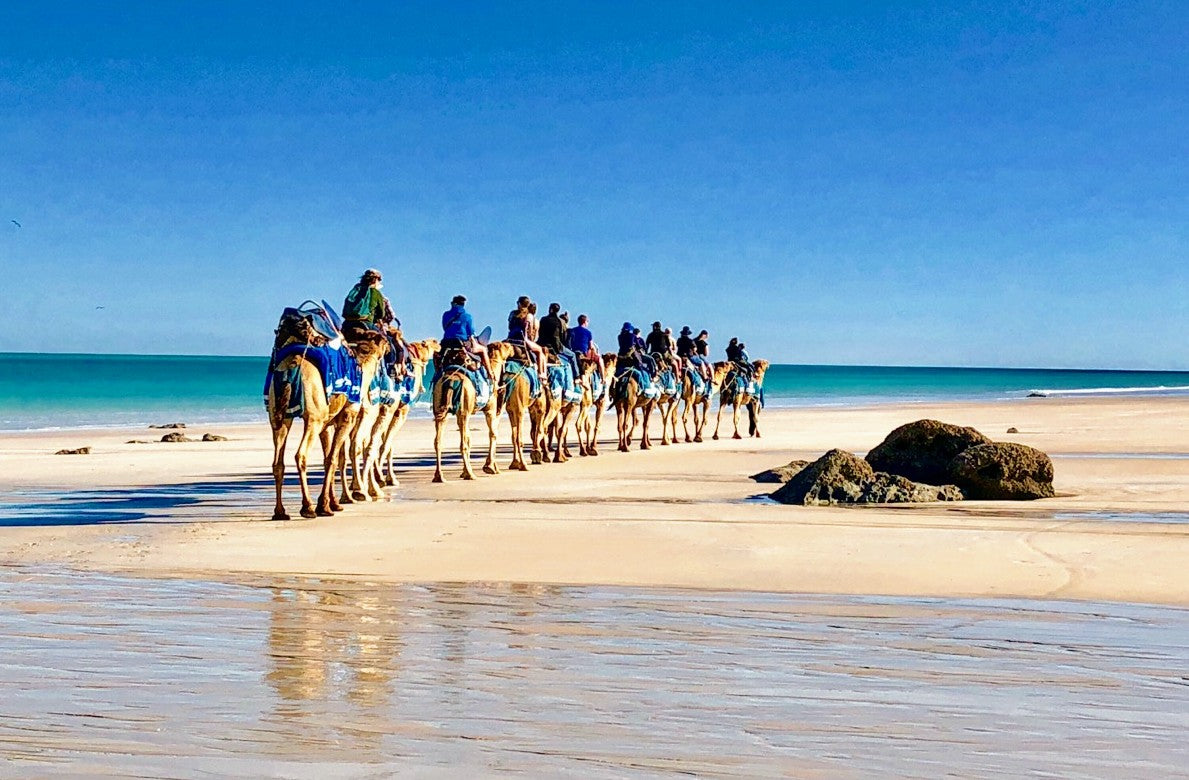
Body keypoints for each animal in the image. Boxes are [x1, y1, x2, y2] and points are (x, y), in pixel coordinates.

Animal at [432, 342, 516, 480]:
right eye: (506, 346)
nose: (513, 347)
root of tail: (451, 380)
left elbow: (469, 438)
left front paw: (464, 471)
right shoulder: (490, 410)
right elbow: (493, 434)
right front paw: (489, 467)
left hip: (441, 408)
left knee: (438, 441)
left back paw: (439, 476)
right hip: (464, 408)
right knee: (462, 443)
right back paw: (470, 474)